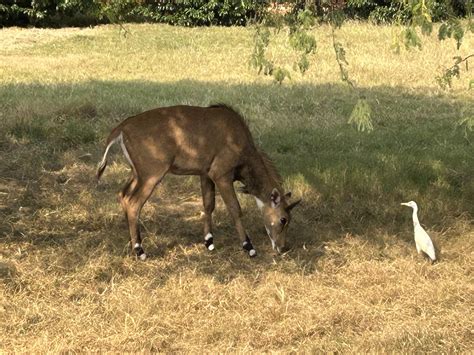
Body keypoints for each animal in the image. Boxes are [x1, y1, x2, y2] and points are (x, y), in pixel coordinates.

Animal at [97, 104, 300, 260]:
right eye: (283, 219)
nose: (283, 248)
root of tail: (122, 128)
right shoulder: (221, 174)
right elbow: (235, 208)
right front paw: (249, 247)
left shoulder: (205, 174)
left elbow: (208, 204)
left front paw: (209, 241)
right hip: (151, 174)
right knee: (133, 203)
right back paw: (140, 251)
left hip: (137, 174)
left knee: (123, 195)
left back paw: (132, 243)